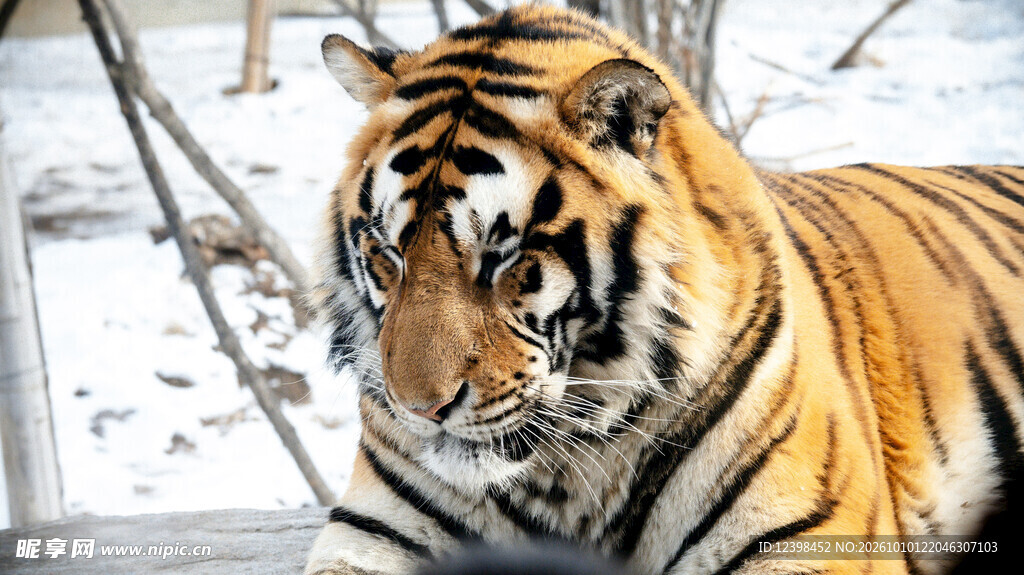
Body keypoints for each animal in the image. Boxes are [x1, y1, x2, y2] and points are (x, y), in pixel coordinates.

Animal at [304, 5, 1024, 575]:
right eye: (388, 253)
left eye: (504, 258)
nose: (420, 408)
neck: (565, 472)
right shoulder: (373, 534)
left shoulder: (807, 535)